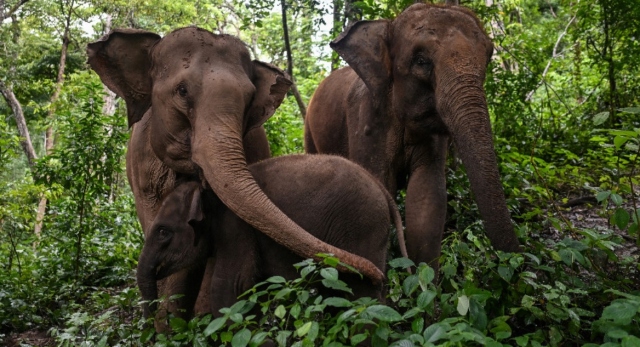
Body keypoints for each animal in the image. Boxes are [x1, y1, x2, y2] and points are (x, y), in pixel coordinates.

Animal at [136, 155, 404, 318]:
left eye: (163, 232)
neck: (207, 191)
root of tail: (382, 189)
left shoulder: (236, 227)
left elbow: (229, 287)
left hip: (362, 227)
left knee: (363, 297)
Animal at [304, 2, 520, 272]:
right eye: (421, 60)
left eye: (488, 57)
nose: (515, 262)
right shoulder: (366, 121)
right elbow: (378, 187)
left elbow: (428, 198)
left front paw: (423, 280)